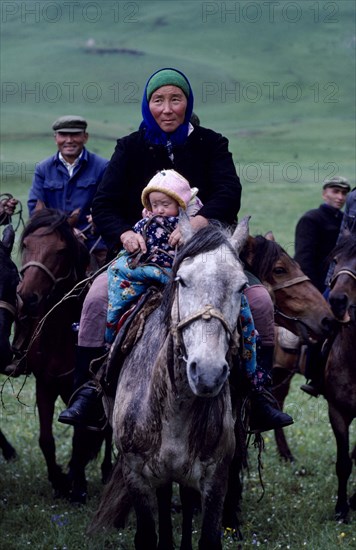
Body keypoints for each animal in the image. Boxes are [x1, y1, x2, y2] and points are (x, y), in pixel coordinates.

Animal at [13, 207, 111, 504]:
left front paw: (77, 486)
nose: (27, 298)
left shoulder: (81, 389)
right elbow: (46, 439)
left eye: (60, 250)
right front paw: (59, 481)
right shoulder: (44, 384)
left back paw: (107, 470)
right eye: (26, 244)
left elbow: (80, 437)